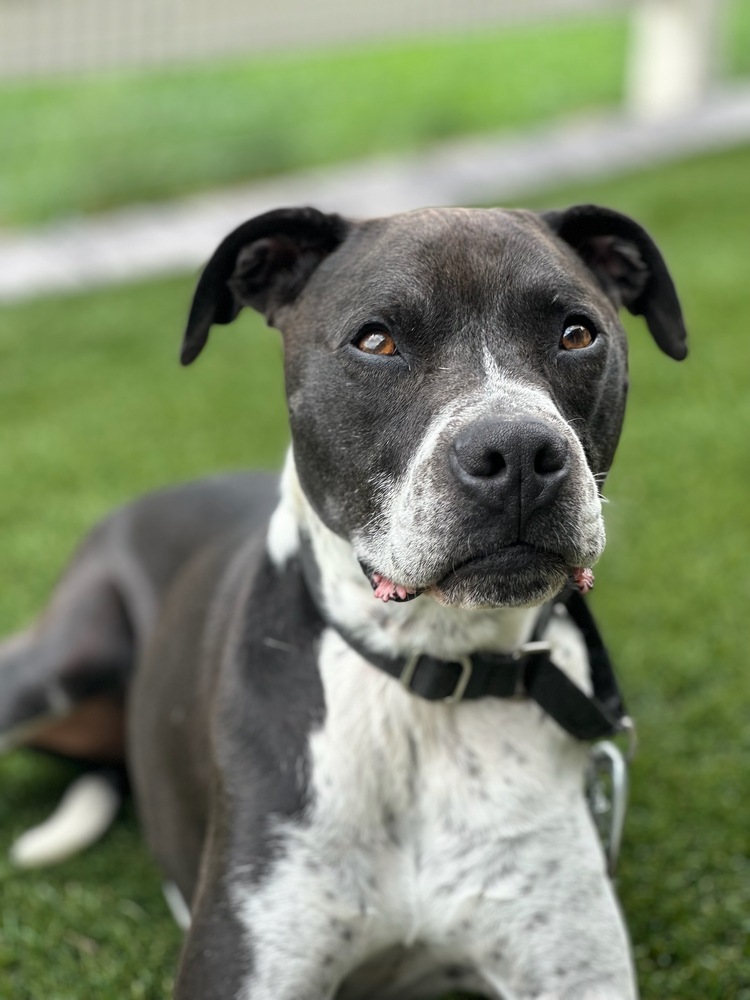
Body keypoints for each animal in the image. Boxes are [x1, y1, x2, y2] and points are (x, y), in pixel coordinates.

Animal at [0, 199, 688, 996]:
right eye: (376, 340)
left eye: (577, 333)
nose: (517, 452)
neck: (431, 678)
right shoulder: (248, 964)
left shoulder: (572, 971)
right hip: (54, 669)